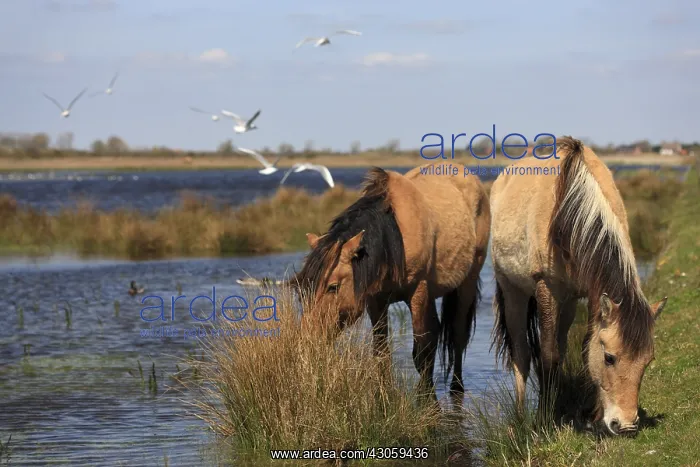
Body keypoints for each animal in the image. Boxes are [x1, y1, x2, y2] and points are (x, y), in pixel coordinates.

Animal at [291, 165, 491, 396]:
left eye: (333, 287)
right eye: (302, 288)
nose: (307, 341)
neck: (394, 237)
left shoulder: (418, 292)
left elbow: (422, 349)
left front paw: (425, 397)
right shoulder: (375, 300)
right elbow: (381, 350)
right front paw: (383, 394)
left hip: (467, 281)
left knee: (458, 333)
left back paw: (457, 387)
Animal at [489, 136, 668, 436]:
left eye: (648, 360)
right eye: (609, 358)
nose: (626, 425)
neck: (570, 209)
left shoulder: (593, 291)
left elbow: (583, 347)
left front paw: (592, 416)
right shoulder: (546, 288)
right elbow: (547, 355)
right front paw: (543, 420)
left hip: (569, 302)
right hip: (513, 292)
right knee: (522, 354)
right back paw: (521, 418)